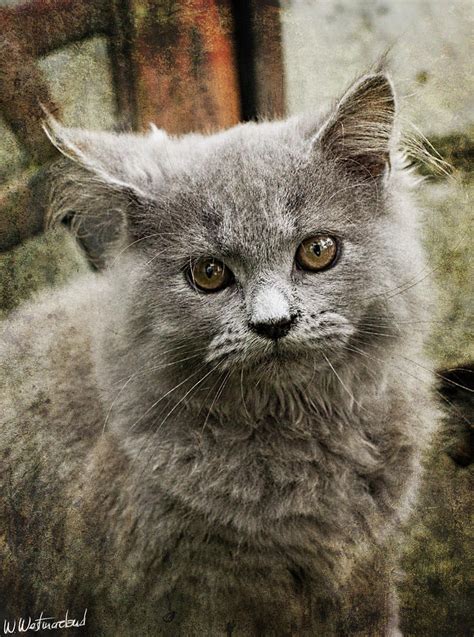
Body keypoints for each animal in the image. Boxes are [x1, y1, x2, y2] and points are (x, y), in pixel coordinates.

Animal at [0, 72, 436, 632]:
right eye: (209, 273)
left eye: (318, 251)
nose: (273, 323)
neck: (297, 434)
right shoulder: (185, 597)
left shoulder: (367, 574)